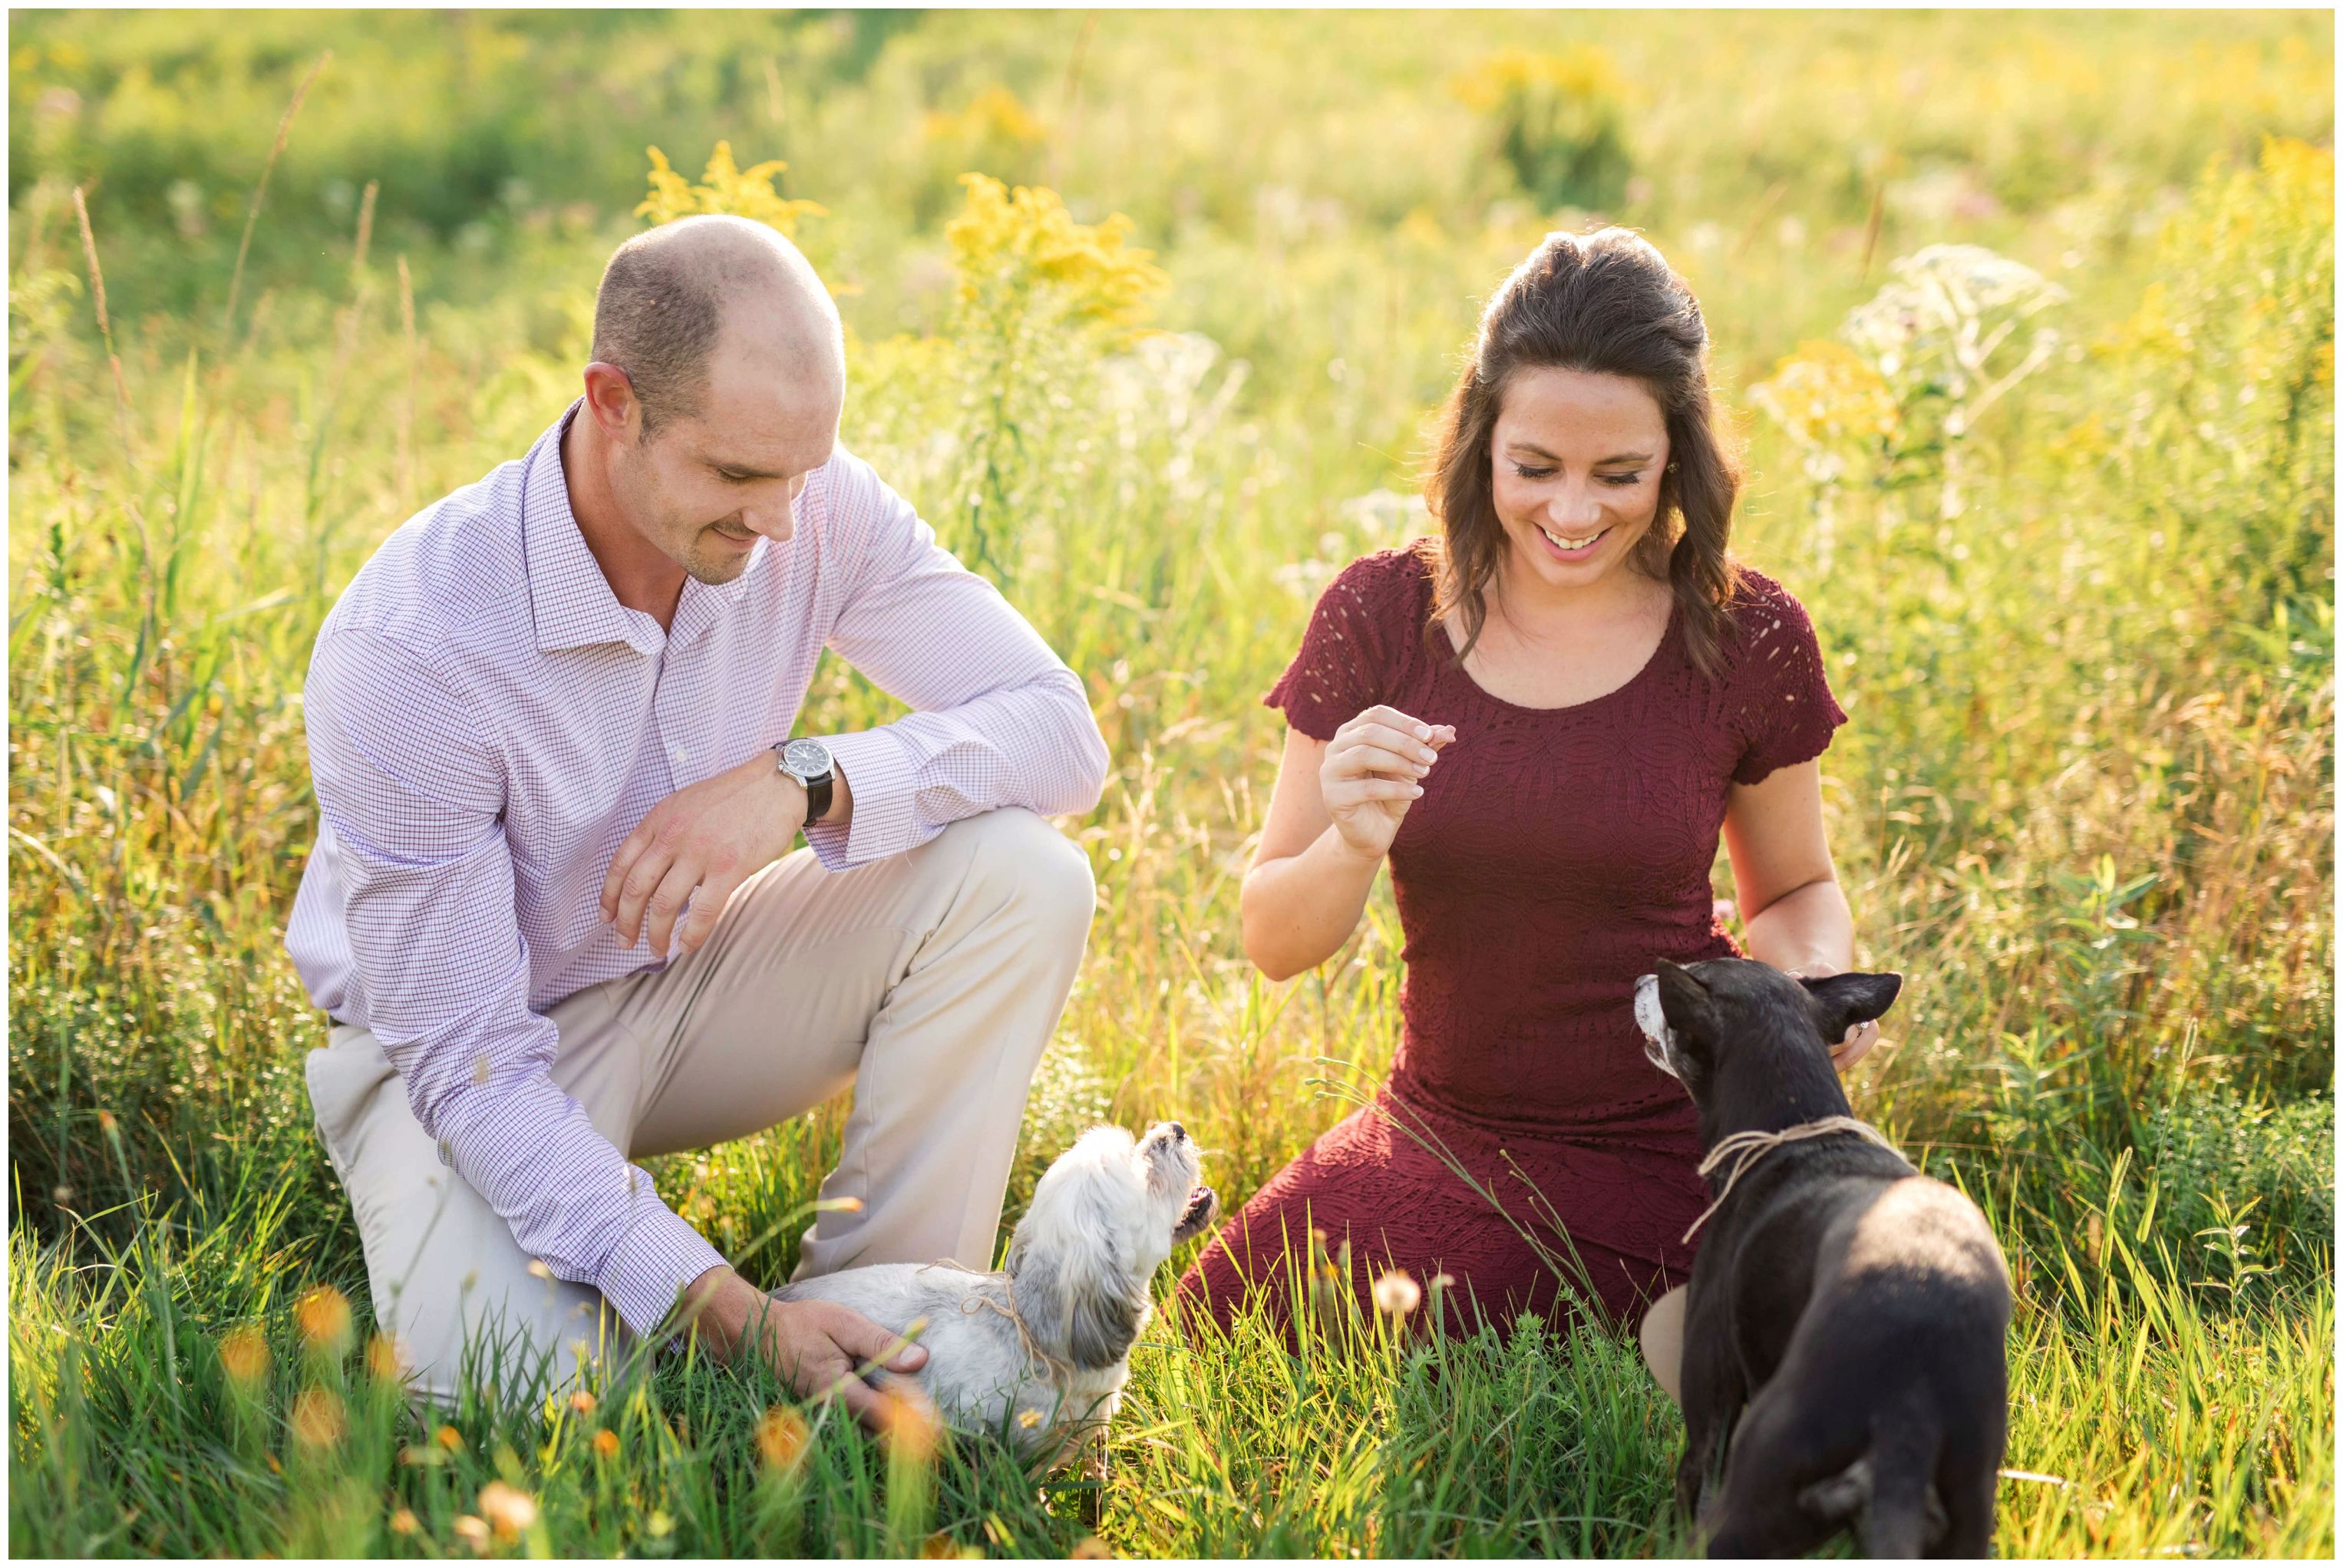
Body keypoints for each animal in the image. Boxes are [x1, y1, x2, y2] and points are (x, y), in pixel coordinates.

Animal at [1640, 956, 2005, 1556]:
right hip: (1970, 1509)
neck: (1797, 1127)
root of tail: (1908, 1405)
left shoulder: (1709, 1409)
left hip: (1757, 1484)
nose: (1635, 981)